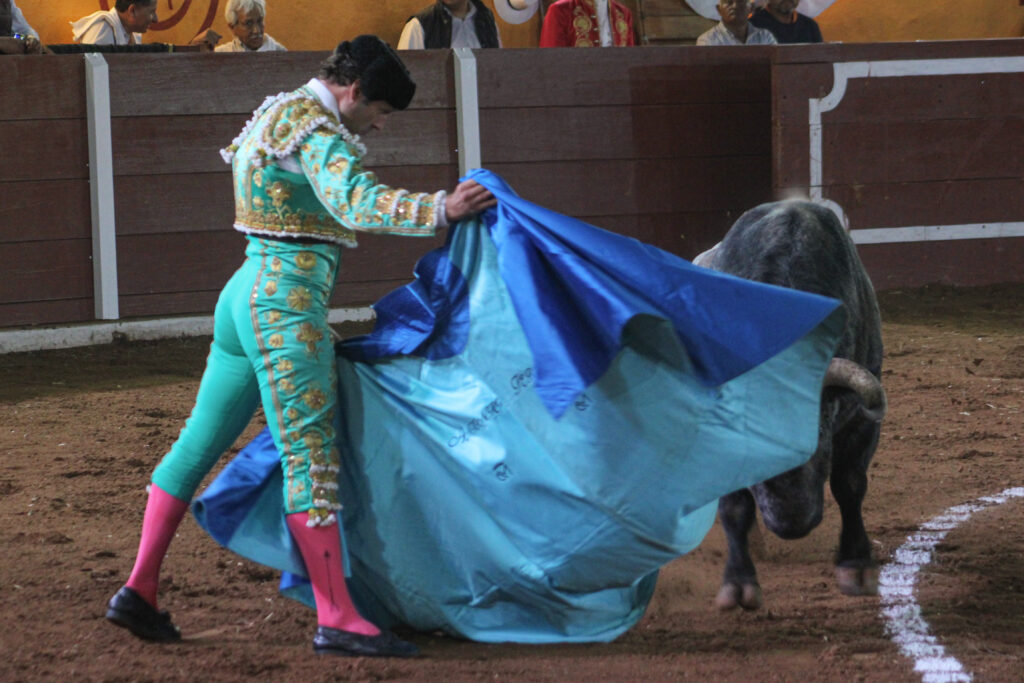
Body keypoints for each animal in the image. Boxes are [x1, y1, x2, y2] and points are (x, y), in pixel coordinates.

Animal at [696, 197, 888, 610]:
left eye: (819, 440)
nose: (791, 522)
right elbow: (733, 506)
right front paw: (738, 582)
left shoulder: (861, 423)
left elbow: (850, 485)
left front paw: (856, 564)